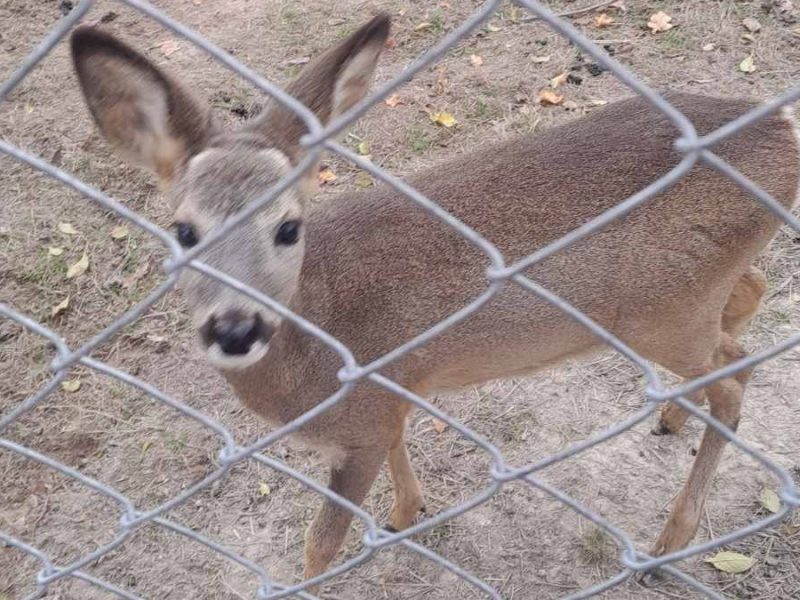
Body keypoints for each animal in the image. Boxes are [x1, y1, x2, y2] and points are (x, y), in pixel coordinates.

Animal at [70, 12, 800, 592]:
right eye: (183, 231)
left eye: (288, 227)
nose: (234, 328)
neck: (316, 341)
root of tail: (782, 132)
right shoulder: (393, 391)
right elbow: (398, 457)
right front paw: (405, 514)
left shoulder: (361, 419)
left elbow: (319, 545)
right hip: (691, 298)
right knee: (750, 304)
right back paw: (674, 415)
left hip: (664, 310)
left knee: (735, 375)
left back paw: (667, 541)